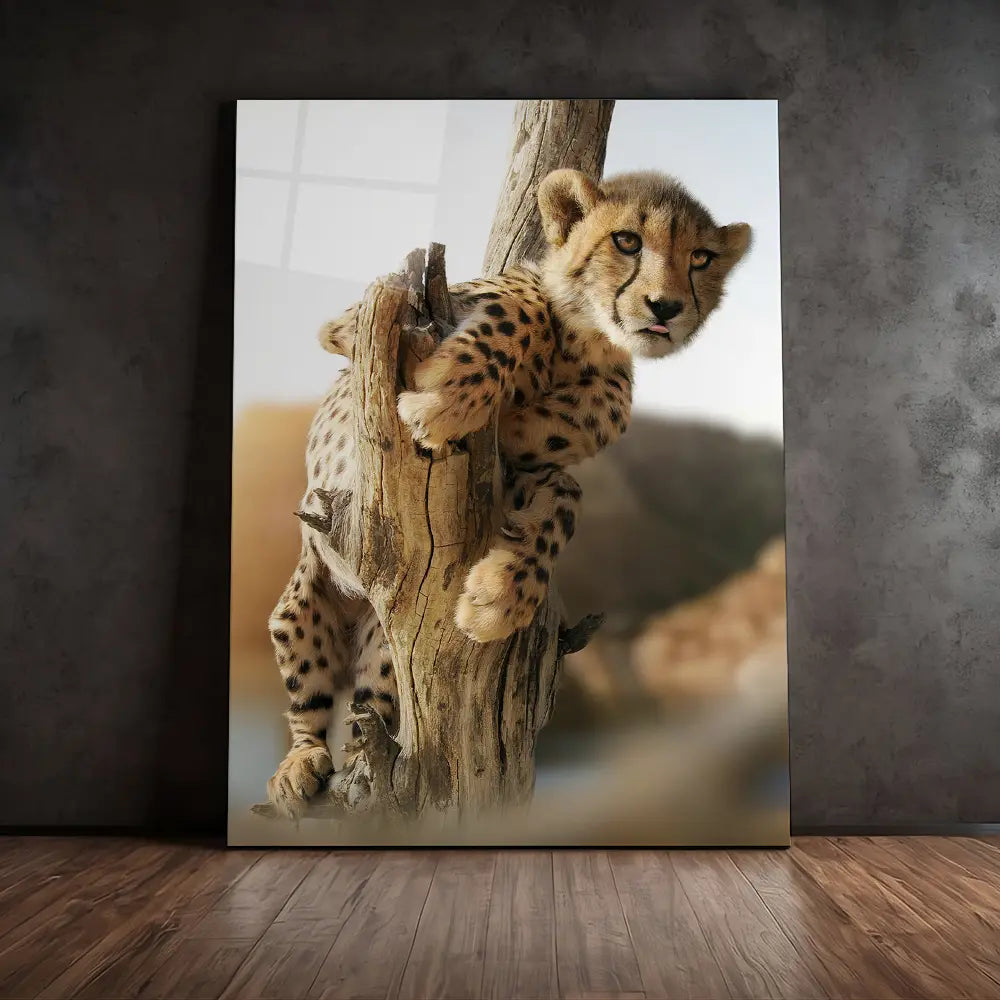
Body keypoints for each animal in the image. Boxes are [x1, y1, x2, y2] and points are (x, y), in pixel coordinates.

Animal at [264, 167, 752, 818]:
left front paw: (500, 597)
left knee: (371, 716)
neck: (585, 341)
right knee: (310, 711)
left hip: (383, 650)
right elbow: (521, 308)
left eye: (701, 258)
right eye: (626, 241)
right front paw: (448, 394)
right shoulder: (355, 321)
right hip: (299, 615)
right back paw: (297, 768)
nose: (666, 307)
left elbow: (575, 474)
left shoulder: (525, 473)